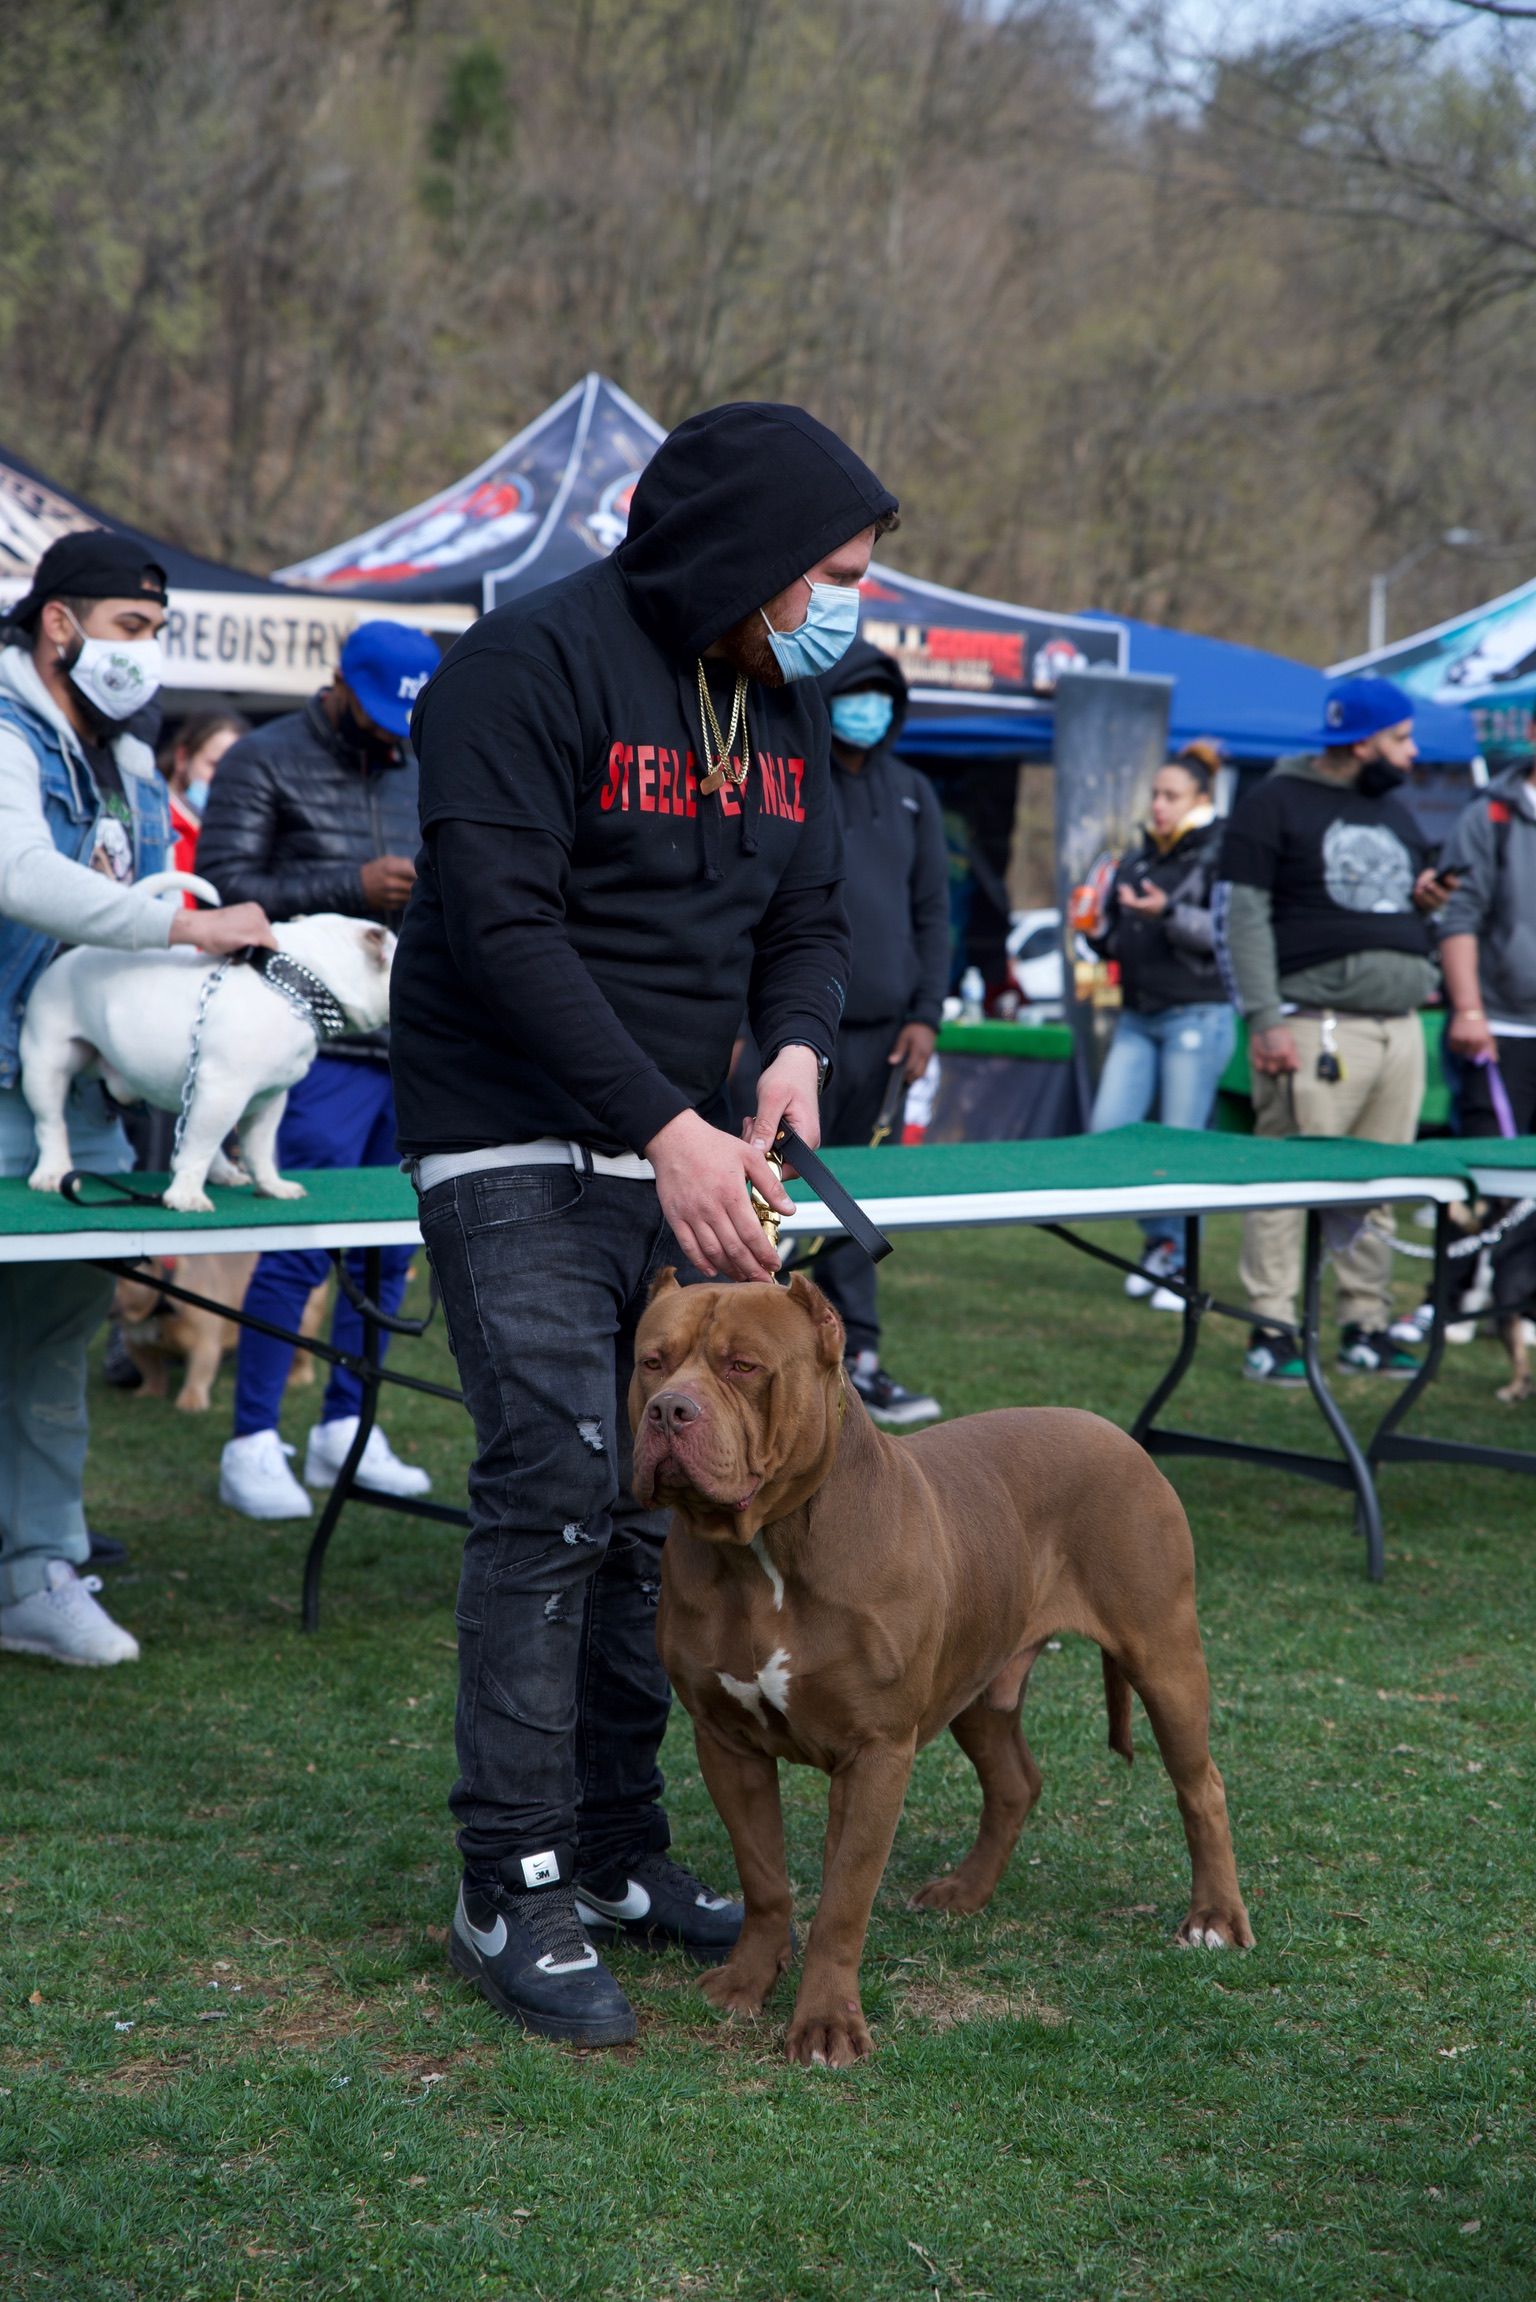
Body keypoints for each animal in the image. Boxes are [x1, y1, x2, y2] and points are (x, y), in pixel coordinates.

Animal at [630, 1270, 1252, 2081]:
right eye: (652, 1361)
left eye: (742, 1367)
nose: (670, 1409)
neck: (763, 1550)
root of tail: (1118, 1435)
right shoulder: (725, 1740)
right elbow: (763, 1878)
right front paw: (745, 1982)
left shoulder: (875, 1753)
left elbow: (842, 1902)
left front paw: (825, 2026)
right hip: (980, 1685)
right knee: (1016, 1782)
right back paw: (967, 1890)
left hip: (1166, 1656)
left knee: (1200, 1785)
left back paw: (1214, 1919)